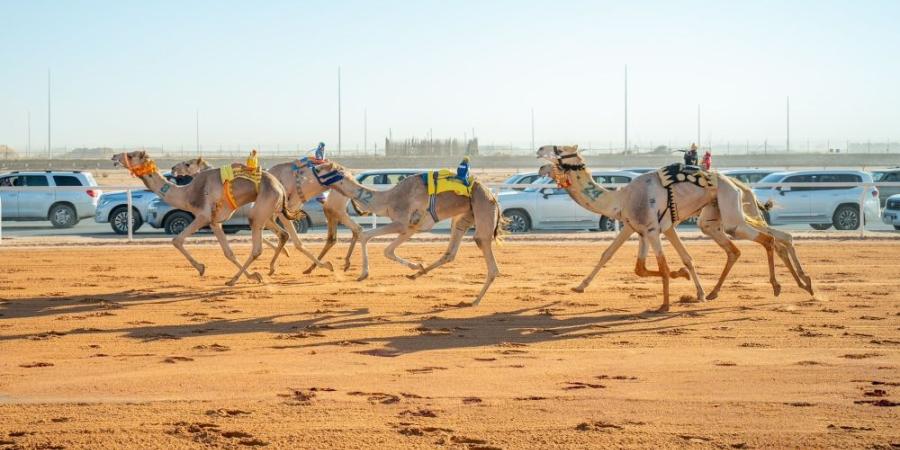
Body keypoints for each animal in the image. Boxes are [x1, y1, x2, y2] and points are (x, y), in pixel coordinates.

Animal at [109, 151, 326, 284]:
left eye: (131, 155)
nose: (114, 156)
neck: (187, 194)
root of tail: (280, 187)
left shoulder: (205, 217)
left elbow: (178, 240)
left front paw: (202, 268)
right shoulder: (216, 221)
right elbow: (224, 251)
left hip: (262, 210)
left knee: (259, 245)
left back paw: (237, 279)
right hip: (271, 211)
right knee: (280, 236)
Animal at [312, 159, 506, 306]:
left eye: (324, 168)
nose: (314, 167)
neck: (387, 199)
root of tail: (494, 198)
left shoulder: (402, 223)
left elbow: (366, 235)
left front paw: (363, 274)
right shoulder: (411, 228)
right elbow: (387, 250)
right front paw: (416, 266)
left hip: (482, 209)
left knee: (488, 256)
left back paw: (475, 301)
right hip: (465, 216)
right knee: (451, 251)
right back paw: (416, 275)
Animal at [536, 145, 816, 312]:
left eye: (559, 150)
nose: (539, 154)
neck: (620, 198)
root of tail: (736, 183)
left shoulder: (651, 230)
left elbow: (663, 265)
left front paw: (665, 305)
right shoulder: (640, 228)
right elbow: (626, 261)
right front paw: (579, 287)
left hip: (732, 216)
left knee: (767, 239)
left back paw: (782, 286)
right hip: (713, 218)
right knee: (764, 241)